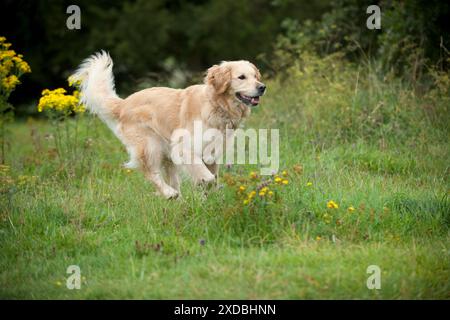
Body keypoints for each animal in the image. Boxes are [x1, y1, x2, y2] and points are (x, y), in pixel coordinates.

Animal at [72, 51, 266, 199]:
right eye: (241, 77)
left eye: (255, 76)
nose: (262, 87)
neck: (216, 105)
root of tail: (123, 103)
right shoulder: (184, 148)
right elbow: (208, 177)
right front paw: (204, 186)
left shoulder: (211, 154)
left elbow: (214, 178)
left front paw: (211, 199)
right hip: (150, 146)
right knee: (151, 173)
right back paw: (169, 194)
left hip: (167, 156)